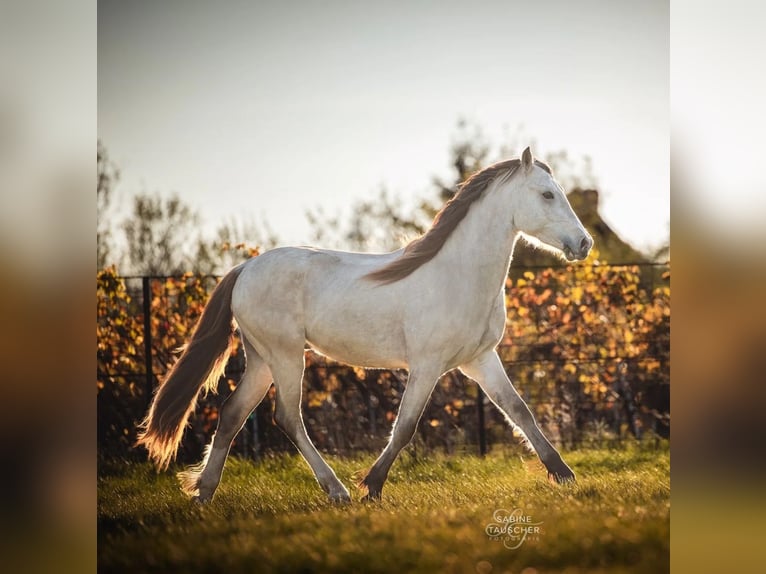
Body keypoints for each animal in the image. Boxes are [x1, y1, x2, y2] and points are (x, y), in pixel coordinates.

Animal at [136, 147, 592, 504]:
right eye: (547, 194)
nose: (584, 243)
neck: (458, 275)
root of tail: (244, 268)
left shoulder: (480, 359)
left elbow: (520, 411)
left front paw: (564, 474)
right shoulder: (427, 365)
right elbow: (405, 426)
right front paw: (371, 486)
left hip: (262, 359)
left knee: (232, 413)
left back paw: (204, 493)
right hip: (286, 356)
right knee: (287, 416)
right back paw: (336, 491)